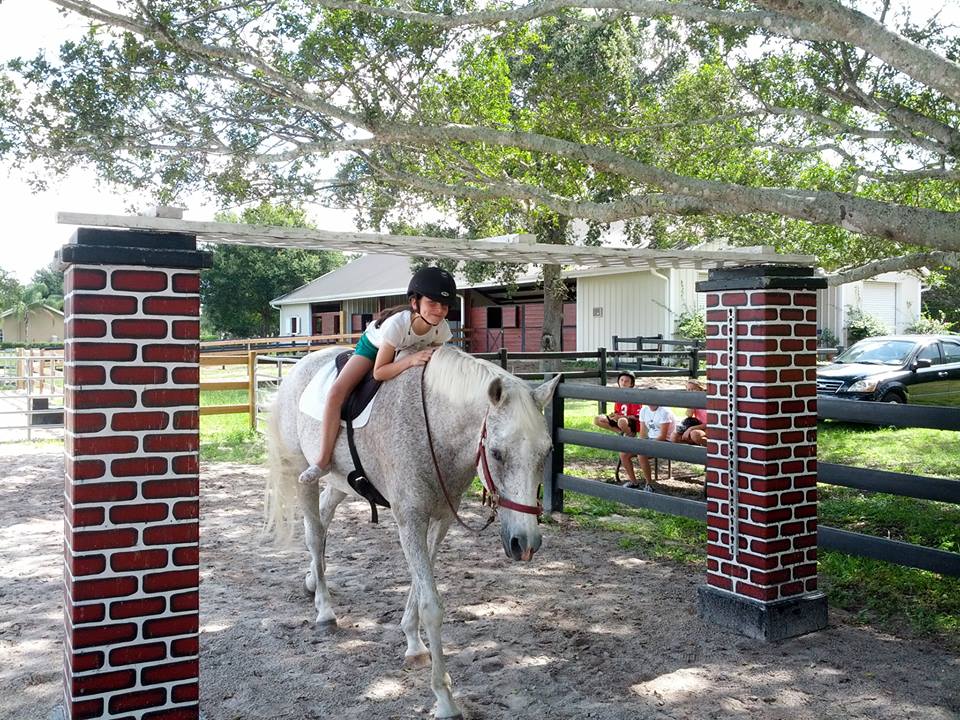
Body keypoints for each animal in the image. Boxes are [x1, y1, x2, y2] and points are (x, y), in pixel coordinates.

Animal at [264, 346, 564, 716]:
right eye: (496, 453)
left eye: (547, 451)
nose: (526, 543)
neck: (433, 427)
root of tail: (299, 368)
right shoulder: (410, 521)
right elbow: (431, 605)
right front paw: (444, 698)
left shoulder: (439, 521)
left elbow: (419, 588)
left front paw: (413, 643)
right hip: (302, 472)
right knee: (313, 533)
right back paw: (324, 610)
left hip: (338, 484)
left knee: (322, 521)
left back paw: (310, 581)